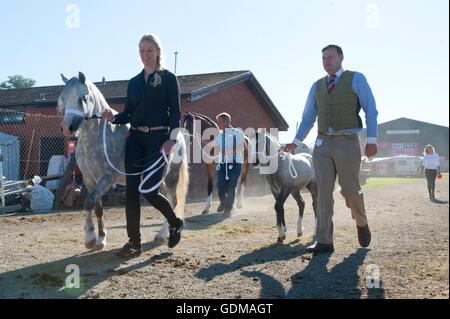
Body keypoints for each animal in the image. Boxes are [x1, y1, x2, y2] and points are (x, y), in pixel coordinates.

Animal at [57, 73, 188, 252]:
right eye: (63, 98)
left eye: (82, 98)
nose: (66, 127)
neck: (97, 137)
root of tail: (177, 137)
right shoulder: (89, 179)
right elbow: (97, 207)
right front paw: (100, 239)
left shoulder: (106, 178)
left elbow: (89, 203)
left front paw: (90, 237)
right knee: (164, 200)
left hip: (171, 177)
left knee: (173, 202)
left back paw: (163, 235)